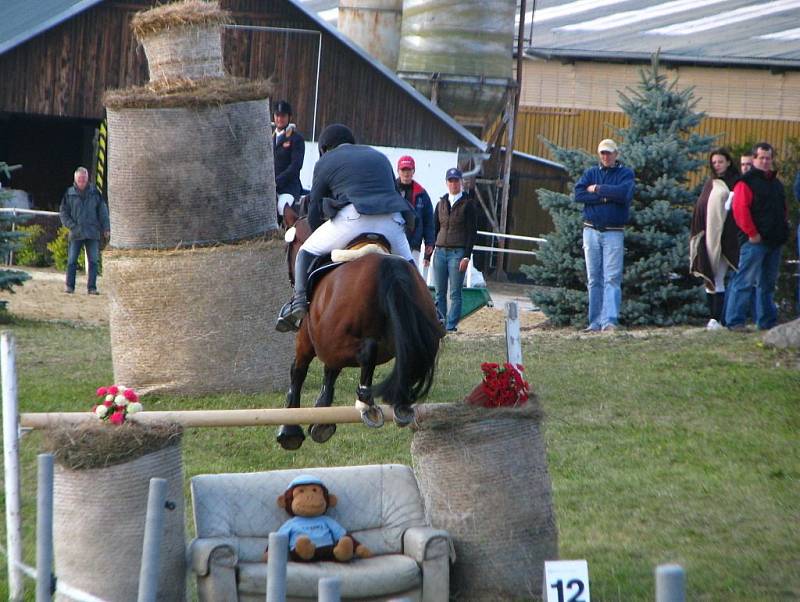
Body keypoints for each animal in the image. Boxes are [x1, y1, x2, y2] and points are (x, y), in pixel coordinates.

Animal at [276, 204, 444, 448]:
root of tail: (387, 266)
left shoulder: (309, 339)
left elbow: (298, 371)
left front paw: (289, 429)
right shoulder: (331, 344)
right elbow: (330, 371)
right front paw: (322, 419)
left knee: (368, 351)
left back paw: (366, 400)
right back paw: (400, 402)